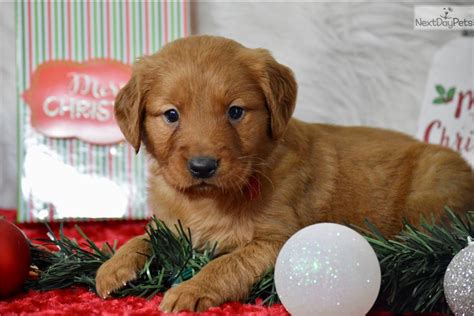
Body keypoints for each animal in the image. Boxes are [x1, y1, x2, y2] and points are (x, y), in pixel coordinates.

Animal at [96, 35, 474, 312]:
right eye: (171, 115)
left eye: (235, 112)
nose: (202, 166)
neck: (209, 201)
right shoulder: (172, 225)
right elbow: (143, 236)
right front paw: (114, 266)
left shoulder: (278, 240)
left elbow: (228, 263)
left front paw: (191, 289)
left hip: (431, 196)